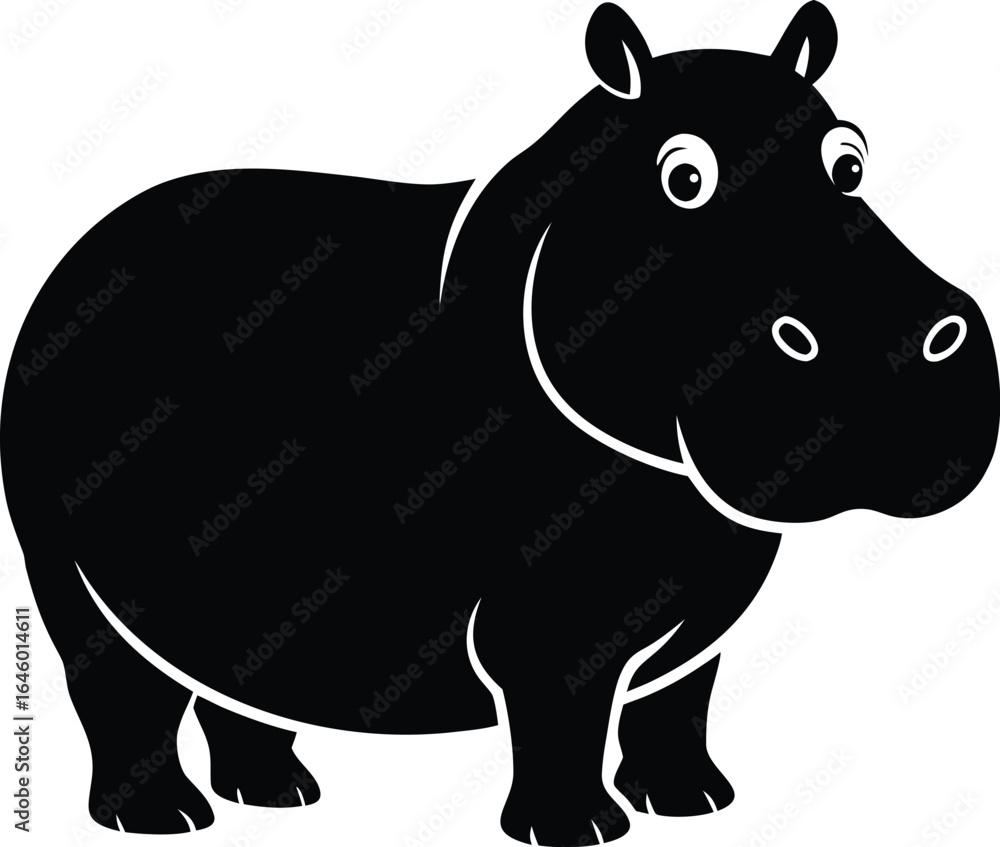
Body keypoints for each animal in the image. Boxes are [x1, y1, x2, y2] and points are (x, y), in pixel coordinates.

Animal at [2, 2, 997, 844]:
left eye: (851, 159)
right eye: (683, 176)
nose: (908, 340)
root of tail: (67, 262)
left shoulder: (703, 597)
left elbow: (676, 704)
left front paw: (696, 805)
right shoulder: (548, 622)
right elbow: (563, 717)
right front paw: (578, 831)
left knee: (230, 673)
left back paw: (280, 795)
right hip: (70, 576)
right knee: (116, 684)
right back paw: (162, 820)